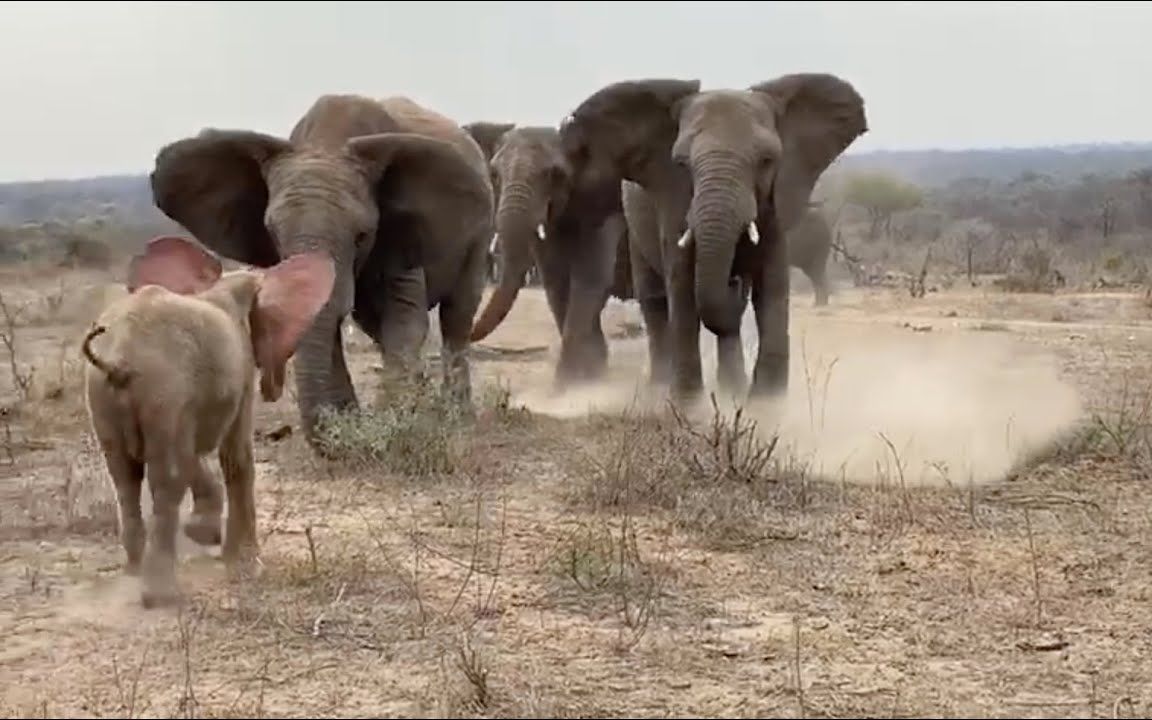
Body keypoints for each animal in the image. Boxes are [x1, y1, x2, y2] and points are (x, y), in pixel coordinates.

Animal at [82, 235, 335, 607]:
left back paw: (134, 571)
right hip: (163, 389)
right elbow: (236, 456)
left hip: (104, 397)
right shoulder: (240, 372)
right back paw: (162, 596)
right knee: (167, 479)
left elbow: (197, 456)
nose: (273, 388)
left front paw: (205, 535)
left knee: (125, 476)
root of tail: (119, 358)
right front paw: (247, 566)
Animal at [149, 94, 495, 445]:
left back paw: (457, 417)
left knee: (457, 315)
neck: (326, 141)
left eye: (362, 236)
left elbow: (404, 318)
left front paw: (393, 424)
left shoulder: (399, 234)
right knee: (375, 324)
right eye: (272, 233)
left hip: (479, 237)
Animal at [462, 121, 632, 386]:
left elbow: (590, 281)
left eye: (554, 175)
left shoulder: (609, 205)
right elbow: (556, 284)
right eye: (494, 175)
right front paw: (588, 379)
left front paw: (565, 387)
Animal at [559, 75, 867, 402]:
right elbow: (682, 284)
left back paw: (733, 390)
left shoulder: (777, 204)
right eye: (681, 163)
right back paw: (662, 389)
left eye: (767, 160)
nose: (734, 281)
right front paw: (688, 406)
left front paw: (768, 406)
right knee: (655, 301)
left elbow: (771, 287)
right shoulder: (674, 201)